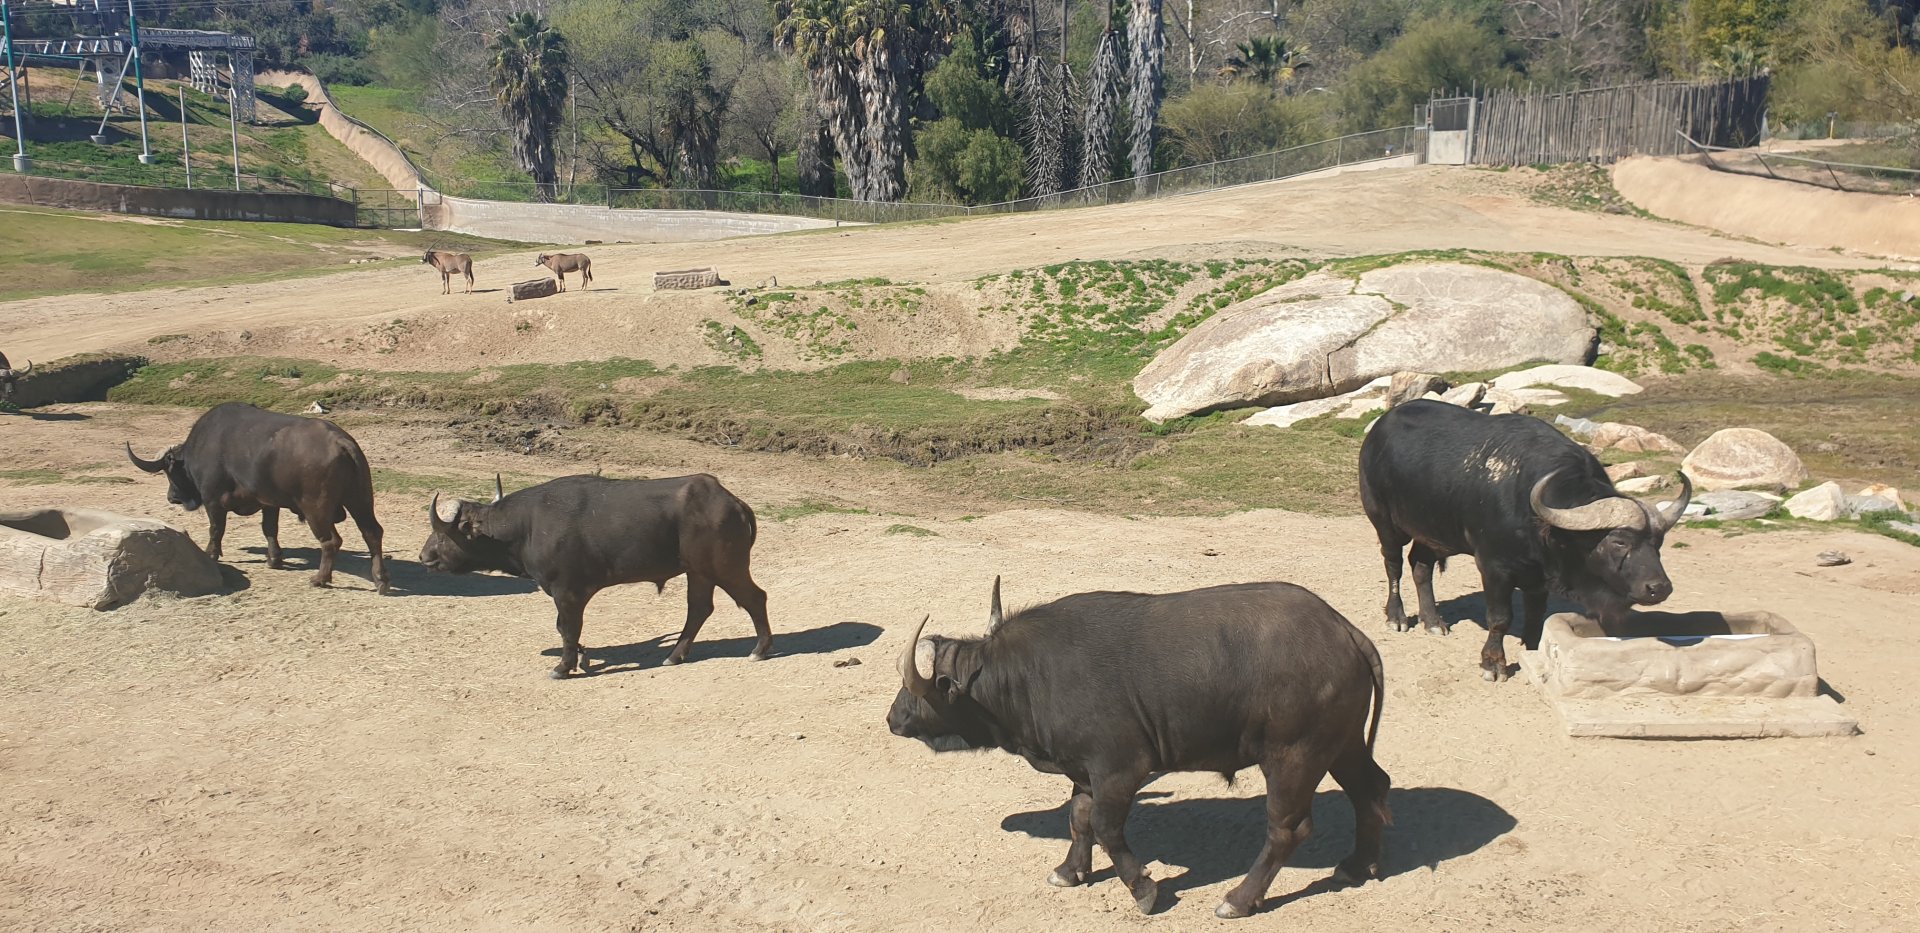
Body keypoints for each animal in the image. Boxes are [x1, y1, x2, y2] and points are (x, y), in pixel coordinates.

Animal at [126, 402, 390, 593]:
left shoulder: (213, 501)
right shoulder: (268, 503)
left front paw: (212, 554)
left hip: (317, 509)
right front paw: (274, 559)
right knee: (372, 533)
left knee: (331, 541)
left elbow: (216, 530)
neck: (201, 446)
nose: (172, 497)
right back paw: (380, 579)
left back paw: (320, 578)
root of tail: (341, 441)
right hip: (360, 500)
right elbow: (269, 529)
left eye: (169, 473)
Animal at [419, 473, 773, 678]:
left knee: (755, 598)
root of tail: (732, 502)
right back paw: (674, 656)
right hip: (699, 572)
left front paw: (564, 666)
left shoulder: (568, 592)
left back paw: (759, 650)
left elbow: (567, 629)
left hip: (724, 567)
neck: (526, 527)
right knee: (699, 609)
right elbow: (564, 629)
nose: (424, 556)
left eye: (442, 534)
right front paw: (580, 657)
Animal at [888, 579, 1389, 918]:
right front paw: (1069, 871)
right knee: (1372, 790)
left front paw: (1143, 889)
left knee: (1288, 829)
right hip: (1341, 745)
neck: (1029, 677)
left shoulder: (1120, 769)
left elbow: (1107, 827)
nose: (893, 718)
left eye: (918, 688)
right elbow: (1079, 820)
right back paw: (1357, 865)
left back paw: (1239, 899)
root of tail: (1345, 631)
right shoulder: (1084, 771)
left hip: (1293, 757)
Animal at [1359, 399, 1691, 681]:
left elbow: (1535, 615)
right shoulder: (1493, 567)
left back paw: (1433, 622)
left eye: (1658, 542)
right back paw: (1398, 617)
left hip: (1431, 531)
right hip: (1384, 522)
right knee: (1394, 565)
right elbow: (1500, 617)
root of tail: (1378, 430)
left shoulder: (1538, 575)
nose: (1659, 588)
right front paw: (1494, 664)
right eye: (1619, 541)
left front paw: (1533, 649)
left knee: (1421, 565)